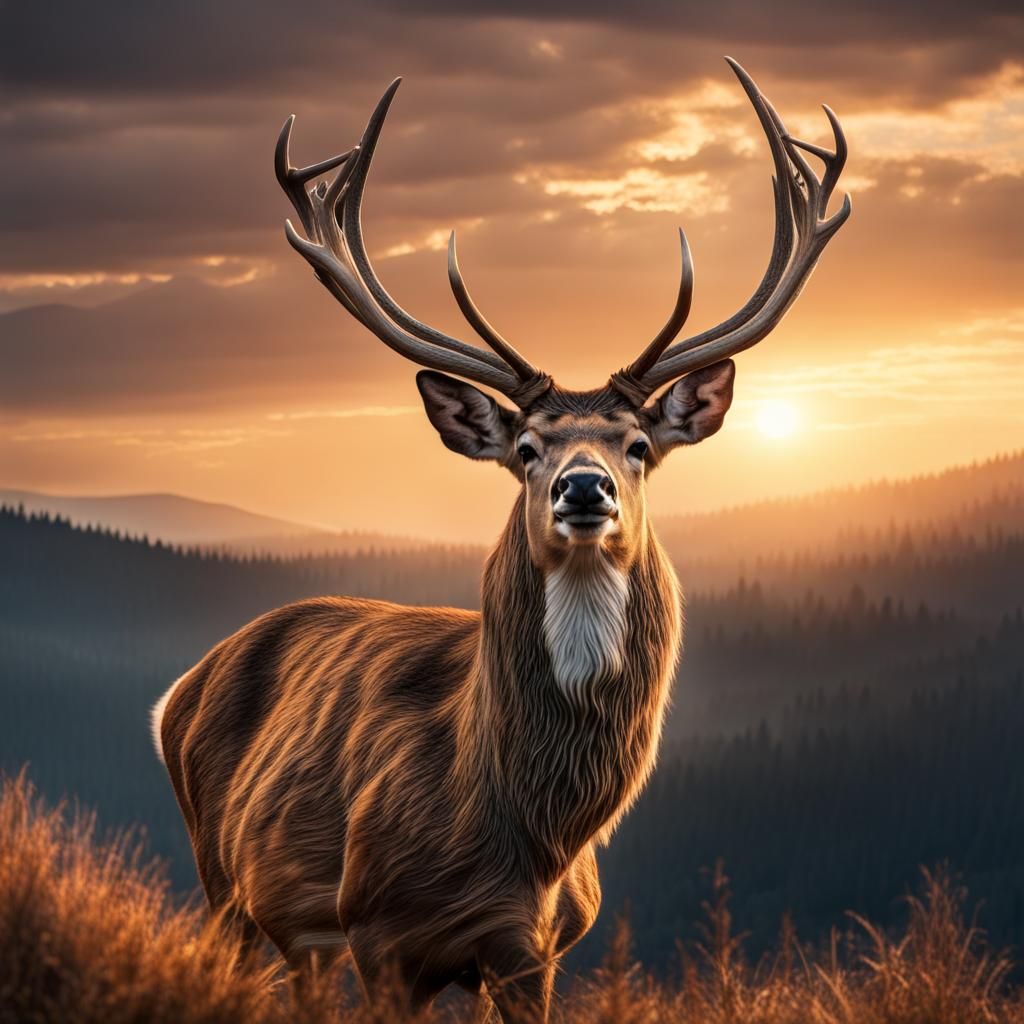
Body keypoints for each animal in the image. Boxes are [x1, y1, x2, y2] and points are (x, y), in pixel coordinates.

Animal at [153, 58, 850, 1022]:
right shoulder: (380, 933)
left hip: (295, 935)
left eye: (639, 446)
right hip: (220, 879)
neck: (519, 834)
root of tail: (178, 690)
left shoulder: (534, 950)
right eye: (526, 449)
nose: (584, 487)